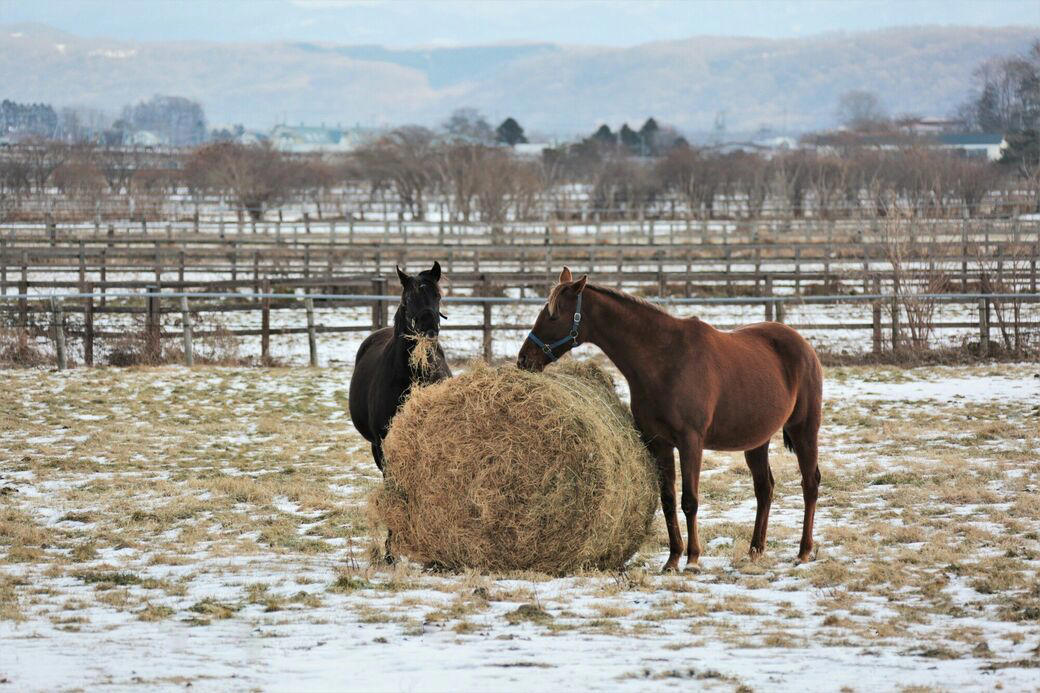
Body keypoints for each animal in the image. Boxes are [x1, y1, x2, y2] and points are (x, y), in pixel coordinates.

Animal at [517, 268, 823, 572]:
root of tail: (804, 346)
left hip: (804, 430)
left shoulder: (690, 443)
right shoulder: (659, 443)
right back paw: (755, 550)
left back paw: (803, 552)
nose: (524, 359)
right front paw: (673, 558)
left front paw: (693, 559)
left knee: (809, 484)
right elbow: (668, 499)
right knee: (764, 489)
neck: (665, 359)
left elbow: (690, 501)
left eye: (554, 315)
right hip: (757, 441)